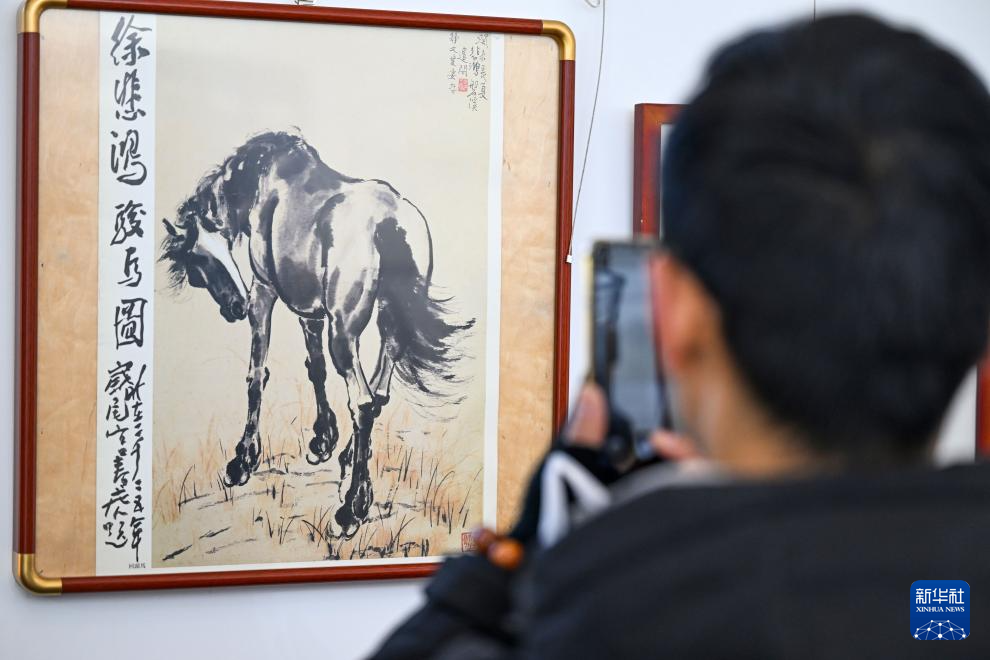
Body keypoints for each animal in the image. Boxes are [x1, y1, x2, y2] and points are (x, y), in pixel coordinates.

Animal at [160, 131, 473, 537]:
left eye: (198, 257)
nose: (235, 306)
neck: (266, 185)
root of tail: (388, 222)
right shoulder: (310, 312)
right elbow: (316, 368)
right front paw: (323, 440)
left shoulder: (264, 292)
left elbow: (256, 375)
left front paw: (243, 460)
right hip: (390, 322)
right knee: (379, 392)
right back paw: (349, 463)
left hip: (345, 332)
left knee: (362, 401)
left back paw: (351, 508)